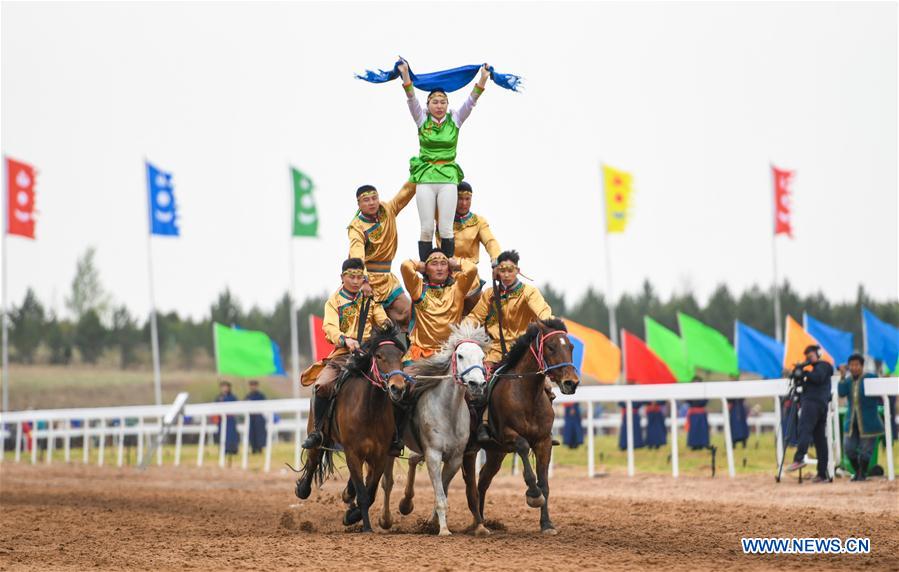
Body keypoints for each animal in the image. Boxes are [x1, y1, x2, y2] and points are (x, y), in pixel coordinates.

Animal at [296, 324, 412, 536]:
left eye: (400, 356)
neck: (369, 409)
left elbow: (370, 492)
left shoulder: (380, 456)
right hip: (317, 435)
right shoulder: (352, 453)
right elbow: (363, 494)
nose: (397, 388)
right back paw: (302, 489)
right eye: (379, 356)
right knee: (313, 459)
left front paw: (352, 515)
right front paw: (365, 526)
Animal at [382, 322, 492, 536]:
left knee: (413, 460)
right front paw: (443, 530)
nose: (477, 384)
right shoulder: (433, 454)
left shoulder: (455, 459)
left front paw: (431, 523)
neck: (448, 411)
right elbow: (440, 495)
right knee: (387, 482)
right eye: (460, 355)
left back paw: (406, 503)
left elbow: (443, 489)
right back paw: (385, 518)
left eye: (482, 357)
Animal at [464, 320, 584, 536]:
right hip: (468, 450)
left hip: (496, 454)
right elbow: (523, 449)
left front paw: (547, 524)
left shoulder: (544, 442)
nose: (571, 382)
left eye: (571, 347)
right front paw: (533, 494)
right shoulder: (508, 435)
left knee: (482, 482)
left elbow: (545, 484)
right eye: (551, 347)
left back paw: (482, 520)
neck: (527, 395)